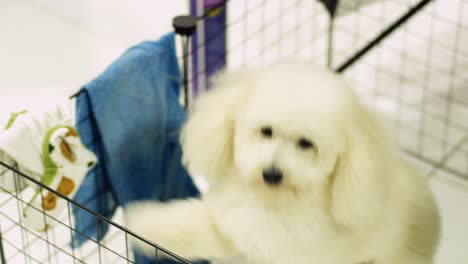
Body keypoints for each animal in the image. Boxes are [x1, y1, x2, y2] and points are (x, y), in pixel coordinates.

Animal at [126, 63, 440, 262]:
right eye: (266, 131)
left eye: (306, 144)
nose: (272, 174)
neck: (273, 202)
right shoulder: (234, 229)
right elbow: (189, 225)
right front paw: (144, 222)